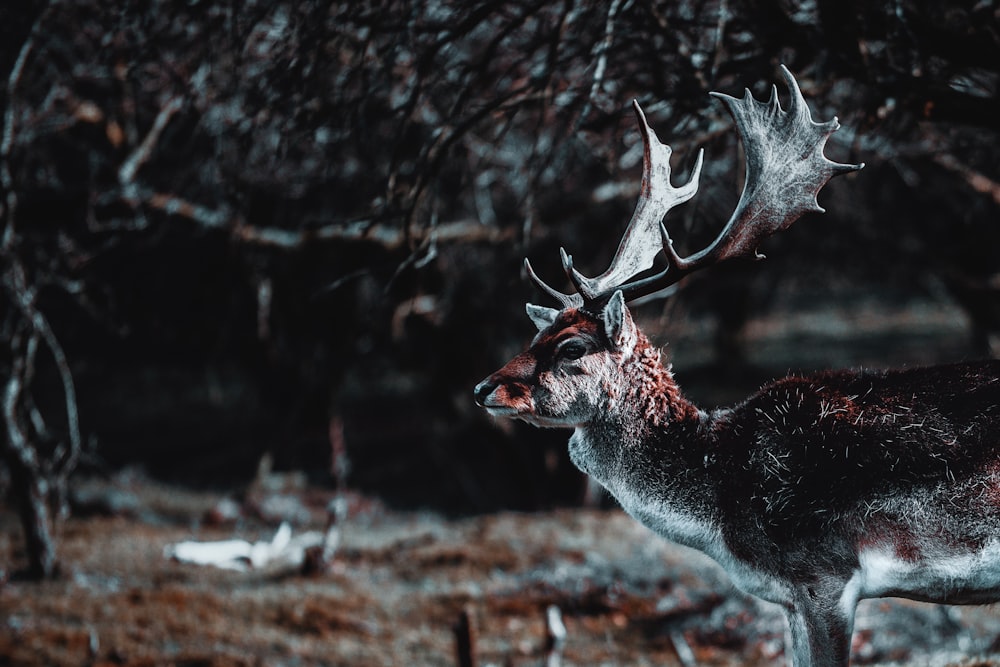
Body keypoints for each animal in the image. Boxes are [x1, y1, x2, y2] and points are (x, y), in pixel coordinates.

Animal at [474, 64, 1000, 667]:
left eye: (572, 348)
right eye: (537, 333)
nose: (484, 387)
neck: (723, 505)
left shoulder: (824, 576)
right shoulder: (791, 599)